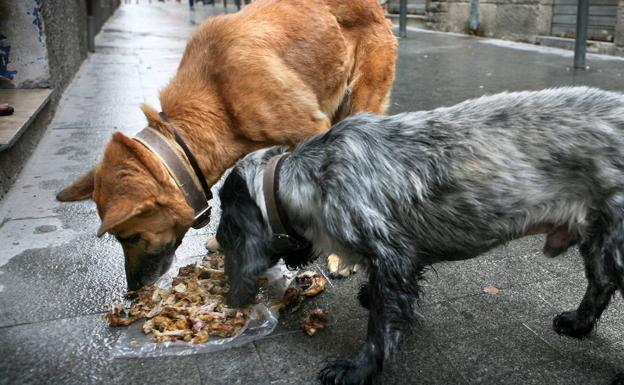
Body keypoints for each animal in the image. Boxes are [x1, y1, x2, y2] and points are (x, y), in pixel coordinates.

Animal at [216, 87, 624, 384]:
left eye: (226, 233)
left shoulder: (391, 255)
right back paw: (577, 323)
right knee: (600, 283)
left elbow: (381, 327)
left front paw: (357, 368)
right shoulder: (401, 261)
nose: (230, 300)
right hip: (598, 238)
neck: (313, 177)